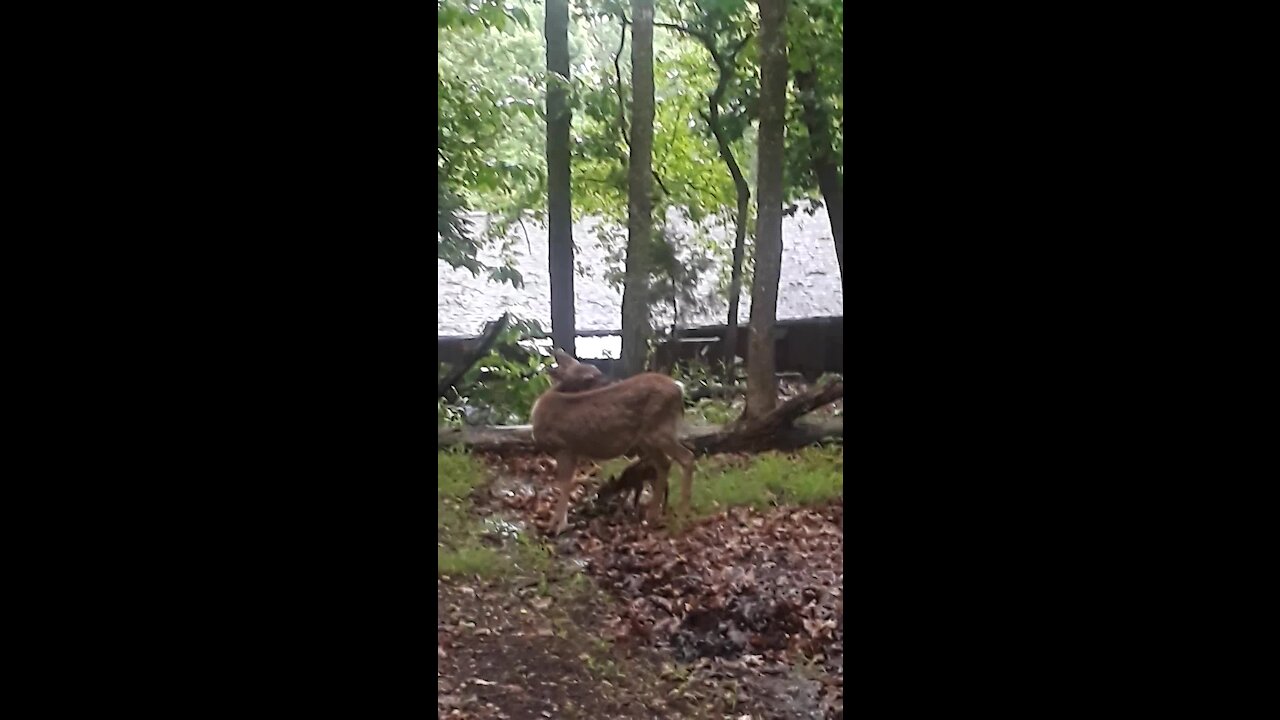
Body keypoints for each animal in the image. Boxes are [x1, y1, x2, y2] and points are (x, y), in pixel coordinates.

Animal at [529, 348, 691, 532]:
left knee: (687, 457)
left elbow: (564, 484)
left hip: (659, 431)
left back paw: (682, 517)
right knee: (664, 464)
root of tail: (679, 388)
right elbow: (568, 483)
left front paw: (557, 526)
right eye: (589, 376)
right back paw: (652, 516)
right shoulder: (573, 451)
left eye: (595, 369)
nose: (612, 381)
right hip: (648, 438)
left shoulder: (564, 447)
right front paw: (556, 523)